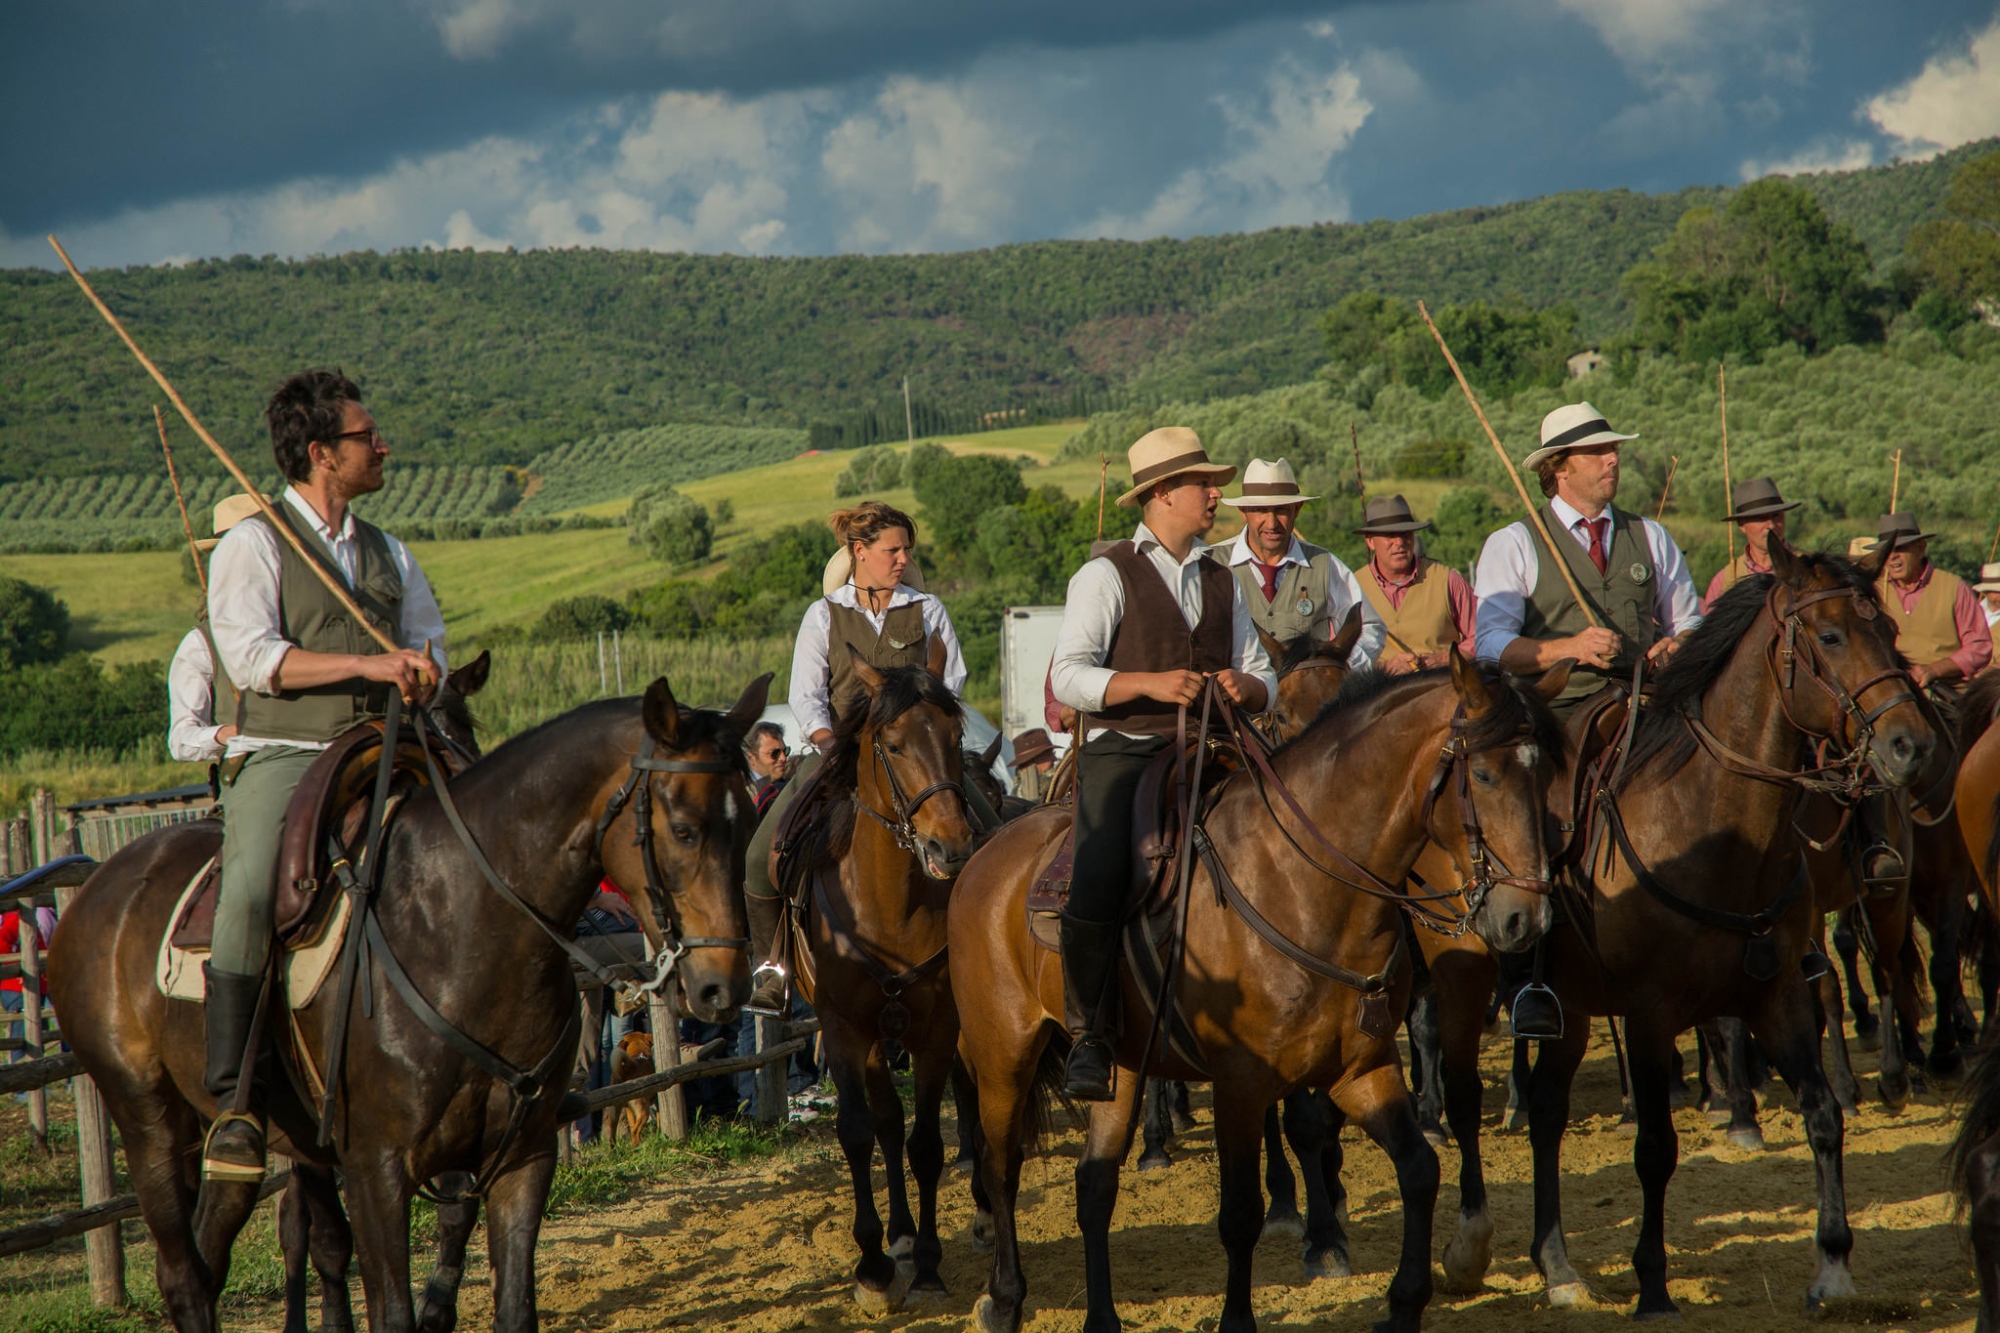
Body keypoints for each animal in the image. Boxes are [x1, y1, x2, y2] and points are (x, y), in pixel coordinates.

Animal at [48, 668, 764, 1328]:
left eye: (750, 820)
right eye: (684, 829)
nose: (723, 985)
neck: (458, 925)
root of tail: (98, 888)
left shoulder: (521, 1158)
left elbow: (505, 1301)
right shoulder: (376, 1171)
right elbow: (386, 1302)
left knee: (216, 1249)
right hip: (149, 1121)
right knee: (186, 1272)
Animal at [780, 652, 976, 1304]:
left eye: (956, 735)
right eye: (892, 744)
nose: (951, 846)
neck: (888, 904)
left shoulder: (939, 1031)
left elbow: (928, 1144)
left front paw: (932, 1266)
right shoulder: (844, 1031)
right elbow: (859, 1132)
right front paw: (871, 1263)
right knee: (884, 1122)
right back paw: (897, 1237)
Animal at [948, 652, 1560, 1328]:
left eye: (1545, 776)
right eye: (1484, 774)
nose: (1525, 920)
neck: (1302, 885)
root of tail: (985, 853)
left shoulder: (1363, 1068)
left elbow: (1419, 1170)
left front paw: (1405, 1301)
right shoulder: (1240, 1085)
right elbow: (1241, 1212)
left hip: (1121, 1065)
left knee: (1095, 1183)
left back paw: (1101, 1317)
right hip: (1003, 1054)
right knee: (1001, 1168)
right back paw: (1003, 1297)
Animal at [1512, 544, 1936, 1312]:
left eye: (1889, 630)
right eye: (1830, 636)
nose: (1910, 745)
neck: (1713, 820)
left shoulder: (1778, 996)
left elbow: (1822, 1115)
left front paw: (1834, 1262)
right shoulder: (1650, 1015)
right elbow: (1655, 1148)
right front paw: (1653, 1280)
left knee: (1551, 1111)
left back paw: (1556, 1264)